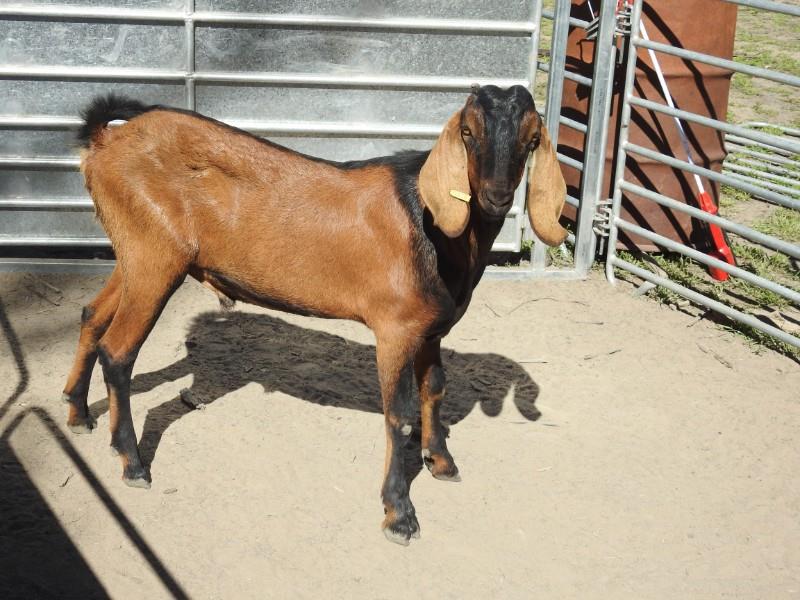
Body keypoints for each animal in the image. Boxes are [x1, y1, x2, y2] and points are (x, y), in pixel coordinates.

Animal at [62, 85, 567, 545]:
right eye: (467, 132)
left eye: (531, 140)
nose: (496, 196)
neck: (430, 226)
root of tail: (106, 142)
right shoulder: (395, 328)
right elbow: (399, 414)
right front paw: (399, 514)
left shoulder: (431, 330)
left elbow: (436, 388)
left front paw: (440, 462)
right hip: (155, 254)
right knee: (118, 351)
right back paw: (132, 463)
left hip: (136, 256)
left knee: (91, 315)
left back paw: (78, 412)